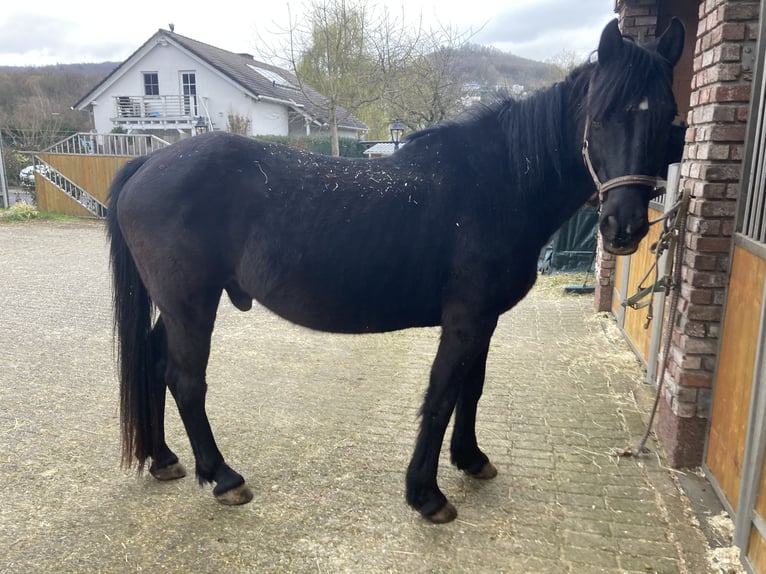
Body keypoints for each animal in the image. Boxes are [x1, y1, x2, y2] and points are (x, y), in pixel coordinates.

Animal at [107, 18, 685, 524]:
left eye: (668, 120)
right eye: (601, 117)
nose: (624, 227)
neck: (496, 185)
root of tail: (148, 162)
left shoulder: (486, 321)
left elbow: (472, 389)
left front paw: (471, 459)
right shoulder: (464, 321)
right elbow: (442, 395)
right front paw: (426, 495)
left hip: (178, 306)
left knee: (154, 364)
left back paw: (164, 460)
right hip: (190, 305)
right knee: (186, 380)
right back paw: (224, 477)